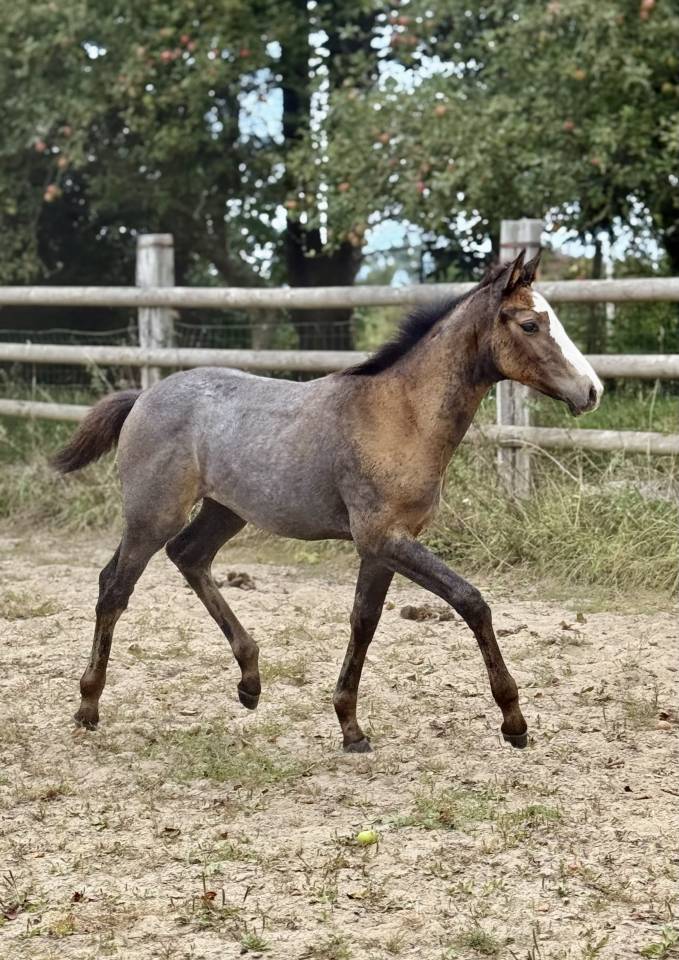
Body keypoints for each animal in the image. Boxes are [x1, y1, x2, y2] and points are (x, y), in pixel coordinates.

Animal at [52, 250, 602, 752]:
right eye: (531, 324)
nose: (592, 391)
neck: (401, 416)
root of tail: (142, 397)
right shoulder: (384, 538)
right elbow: (472, 602)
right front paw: (514, 721)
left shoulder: (382, 547)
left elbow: (364, 621)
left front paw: (350, 726)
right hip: (153, 515)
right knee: (114, 588)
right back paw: (88, 705)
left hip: (224, 511)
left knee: (188, 557)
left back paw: (250, 682)